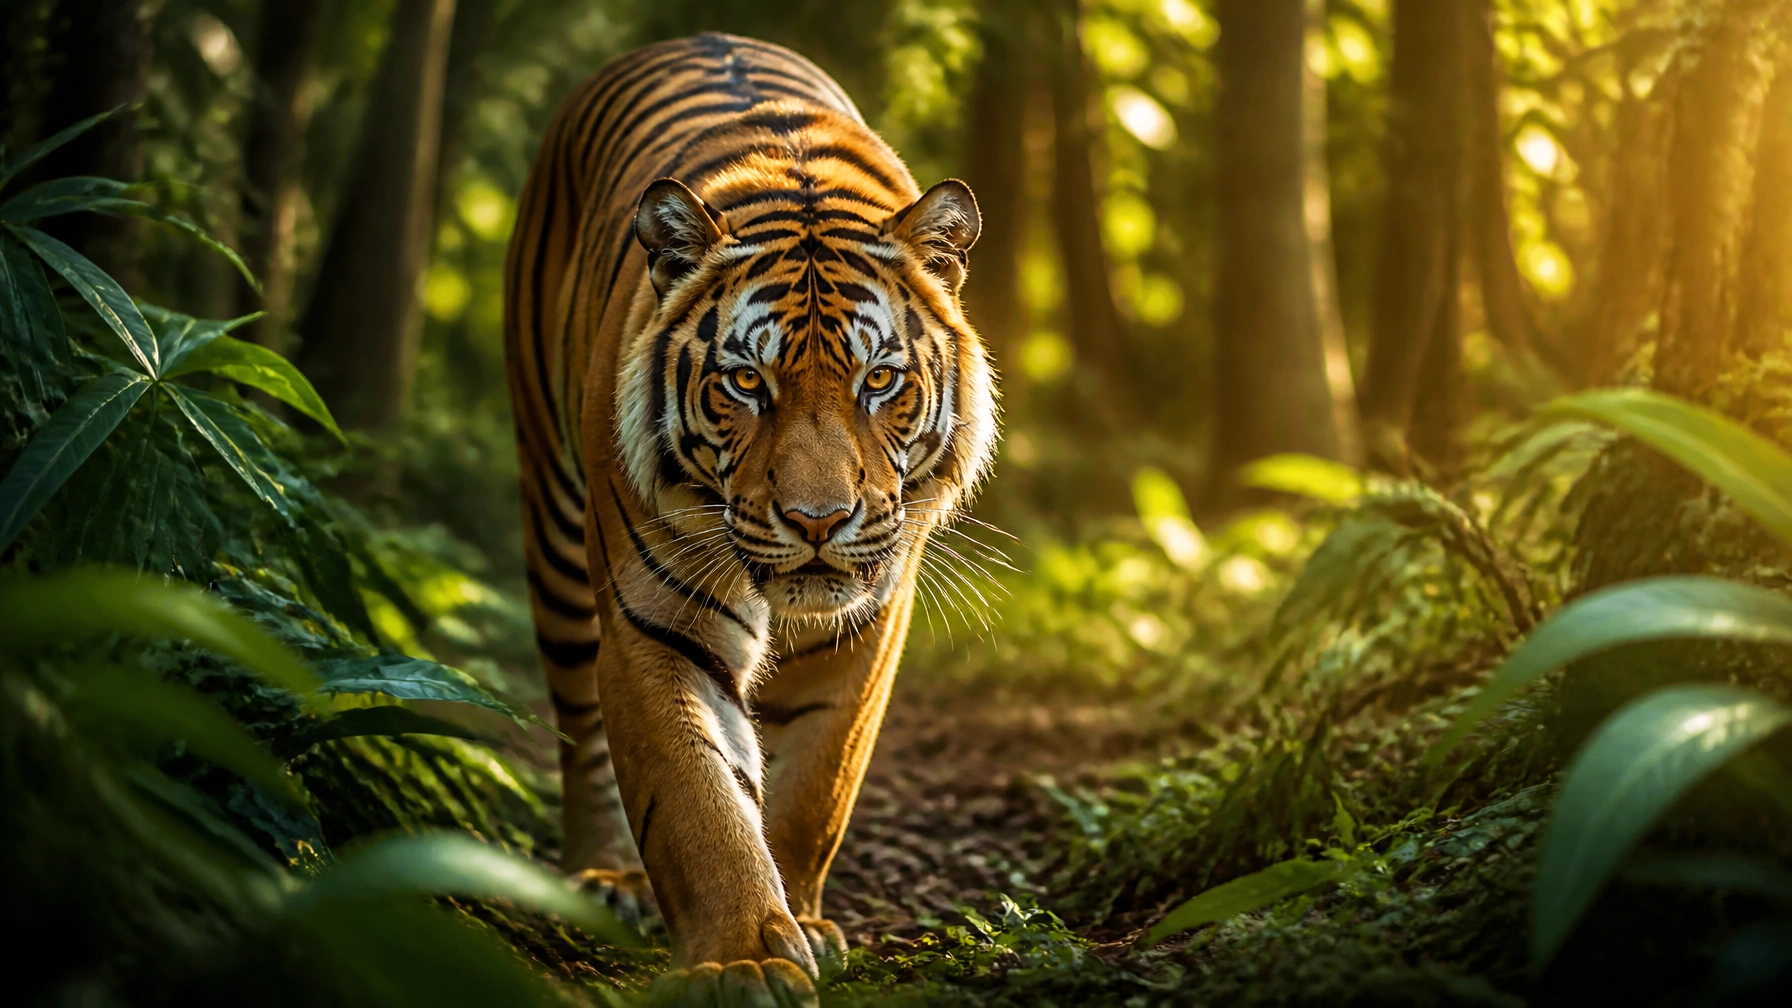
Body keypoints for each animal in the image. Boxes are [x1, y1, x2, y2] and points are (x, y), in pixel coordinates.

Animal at [503, 32, 998, 1004]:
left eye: (879, 380)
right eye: (745, 382)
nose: (818, 519)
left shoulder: (869, 622)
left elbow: (815, 782)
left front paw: (802, 923)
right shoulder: (655, 618)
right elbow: (698, 797)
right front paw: (744, 957)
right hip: (555, 524)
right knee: (577, 722)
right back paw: (603, 878)